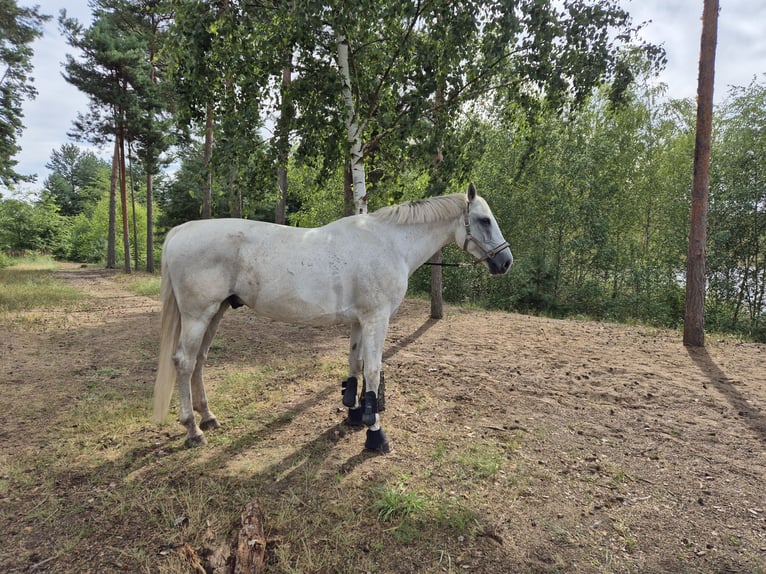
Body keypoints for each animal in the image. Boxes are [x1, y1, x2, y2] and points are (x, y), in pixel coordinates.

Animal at [153, 183, 512, 452]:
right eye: (484, 220)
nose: (505, 261)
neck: (389, 243)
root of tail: (183, 230)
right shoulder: (376, 319)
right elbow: (373, 371)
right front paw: (375, 433)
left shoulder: (359, 321)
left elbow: (355, 365)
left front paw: (354, 414)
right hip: (198, 315)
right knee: (184, 362)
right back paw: (192, 430)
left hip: (215, 313)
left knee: (199, 361)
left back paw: (207, 416)